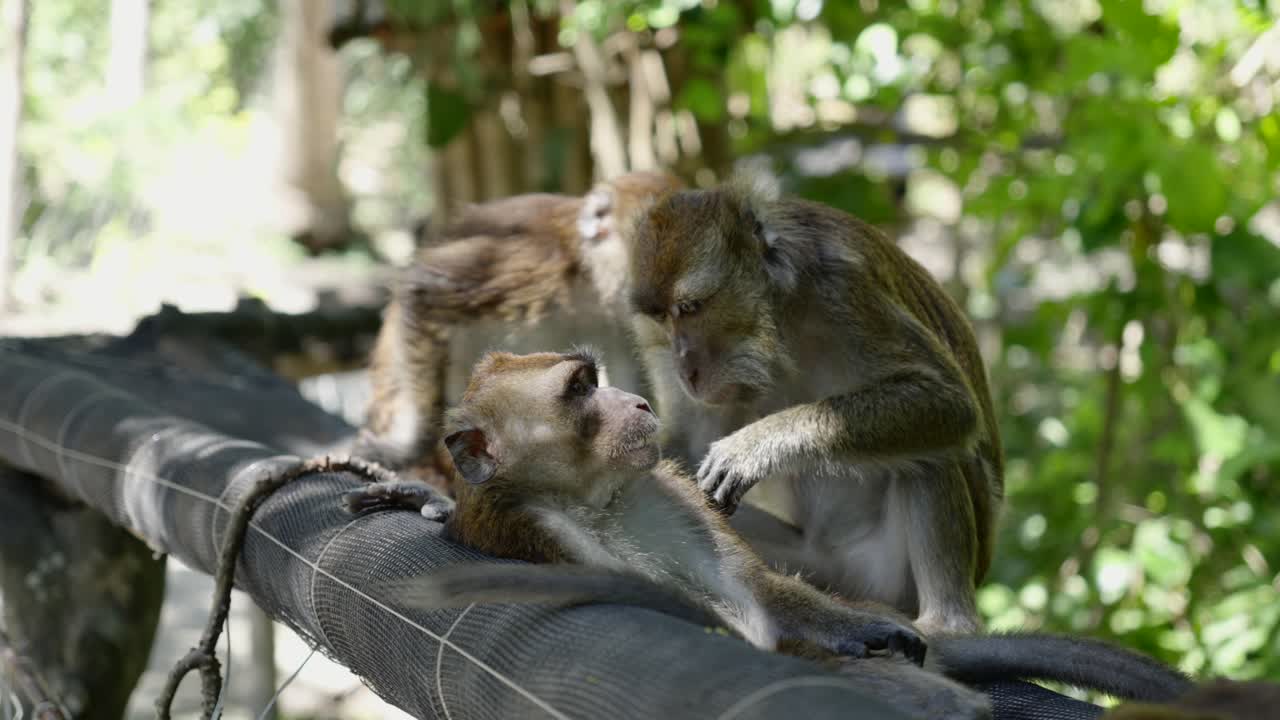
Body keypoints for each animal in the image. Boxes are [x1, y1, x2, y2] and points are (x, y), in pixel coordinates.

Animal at [342, 350, 1192, 712]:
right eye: (583, 388)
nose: (639, 404)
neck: (595, 498)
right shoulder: (538, 529)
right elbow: (695, 619)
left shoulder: (664, 497)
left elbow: (754, 591)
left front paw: (859, 632)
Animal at [624, 171, 1004, 636]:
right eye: (661, 317)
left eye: (690, 307)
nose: (684, 366)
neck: (780, 316)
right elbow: (681, 451)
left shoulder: (843, 287)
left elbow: (948, 401)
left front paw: (752, 448)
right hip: (814, 564)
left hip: (889, 576)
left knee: (934, 450)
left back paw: (948, 623)